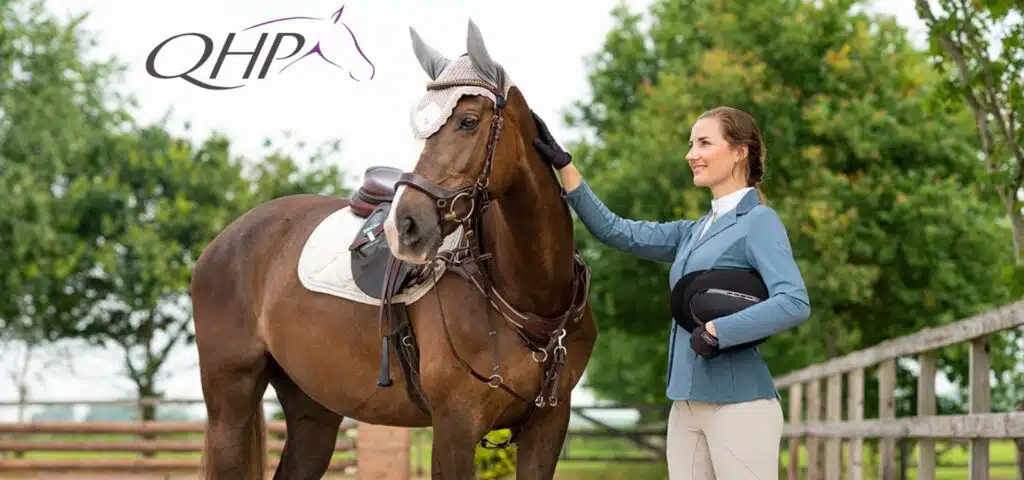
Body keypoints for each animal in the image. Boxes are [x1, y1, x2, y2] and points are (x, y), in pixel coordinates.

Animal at [189, 19, 598, 479]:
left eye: (468, 121)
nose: (406, 224)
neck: (526, 297)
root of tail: (223, 242)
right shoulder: (455, 426)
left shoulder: (548, 427)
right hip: (231, 402)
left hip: (313, 409)